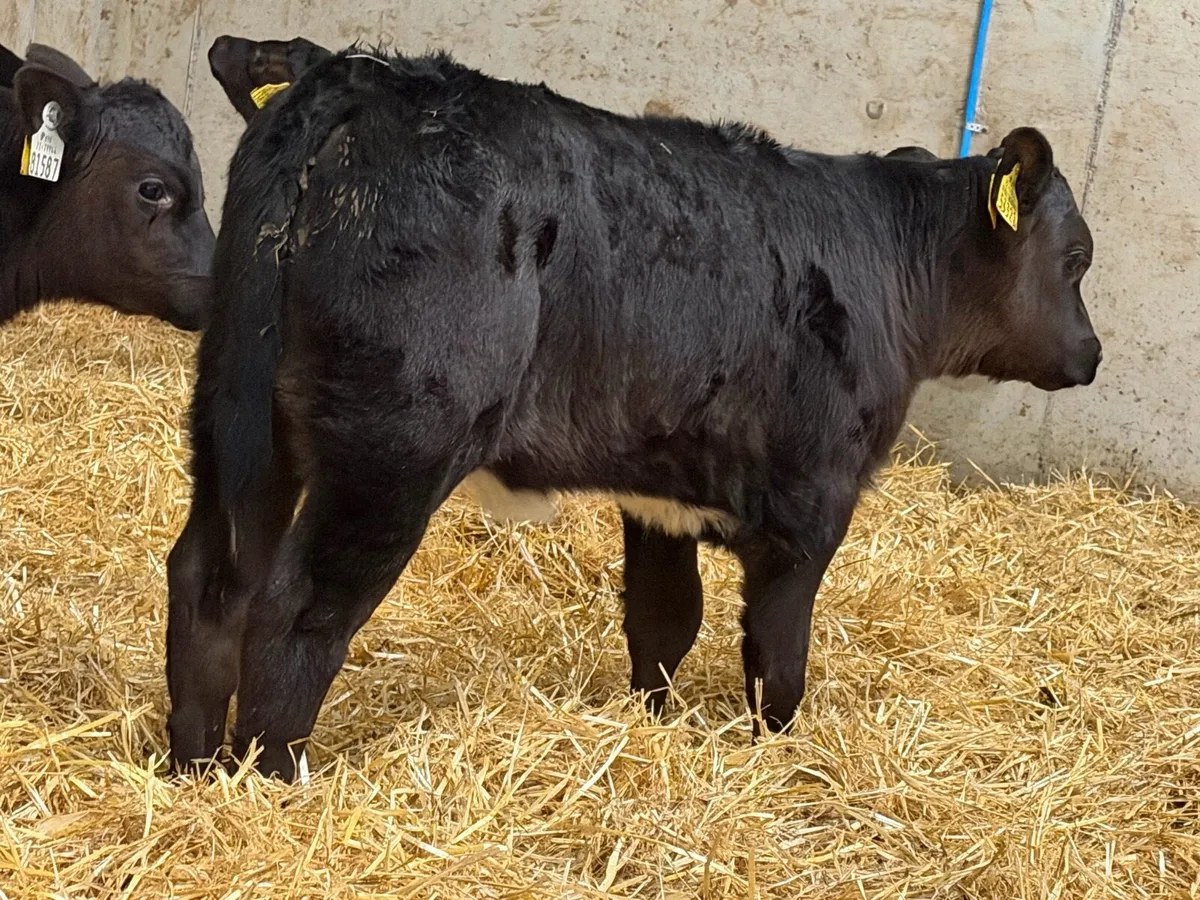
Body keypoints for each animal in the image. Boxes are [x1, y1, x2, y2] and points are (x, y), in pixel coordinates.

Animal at [168, 39, 1102, 781]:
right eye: (1077, 258)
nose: (1092, 355)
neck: (887, 263)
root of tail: (363, 79)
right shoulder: (813, 504)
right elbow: (776, 660)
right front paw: (774, 756)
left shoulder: (663, 494)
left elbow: (663, 622)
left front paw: (650, 723)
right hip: (392, 446)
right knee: (298, 608)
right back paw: (274, 779)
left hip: (236, 414)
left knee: (209, 577)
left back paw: (193, 769)